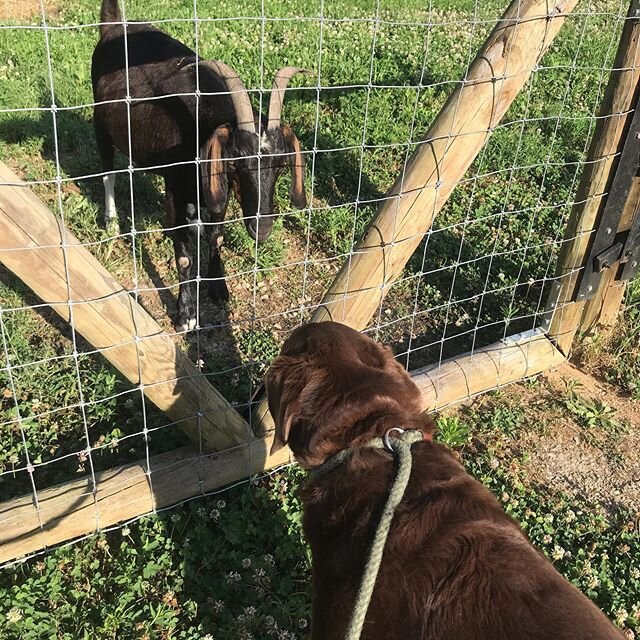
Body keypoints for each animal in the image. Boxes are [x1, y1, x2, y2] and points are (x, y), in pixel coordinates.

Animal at [91, 0, 308, 330]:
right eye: (235, 162)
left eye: (282, 165)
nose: (262, 227)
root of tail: (114, 26)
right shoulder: (176, 186)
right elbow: (184, 252)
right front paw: (187, 314)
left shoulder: (217, 185)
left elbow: (216, 234)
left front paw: (218, 286)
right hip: (100, 125)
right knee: (108, 173)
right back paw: (112, 222)